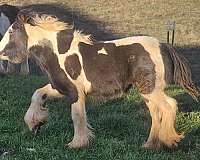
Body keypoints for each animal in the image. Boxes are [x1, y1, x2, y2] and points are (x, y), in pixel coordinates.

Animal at [0, 10, 198, 149]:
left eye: (11, 30)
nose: (1, 52)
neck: (58, 51)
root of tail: (164, 45)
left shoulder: (75, 93)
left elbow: (77, 116)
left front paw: (76, 144)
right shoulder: (61, 87)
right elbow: (37, 94)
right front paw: (35, 124)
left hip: (151, 90)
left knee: (169, 105)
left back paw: (170, 140)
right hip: (148, 92)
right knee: (156, 114)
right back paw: (150, 145)